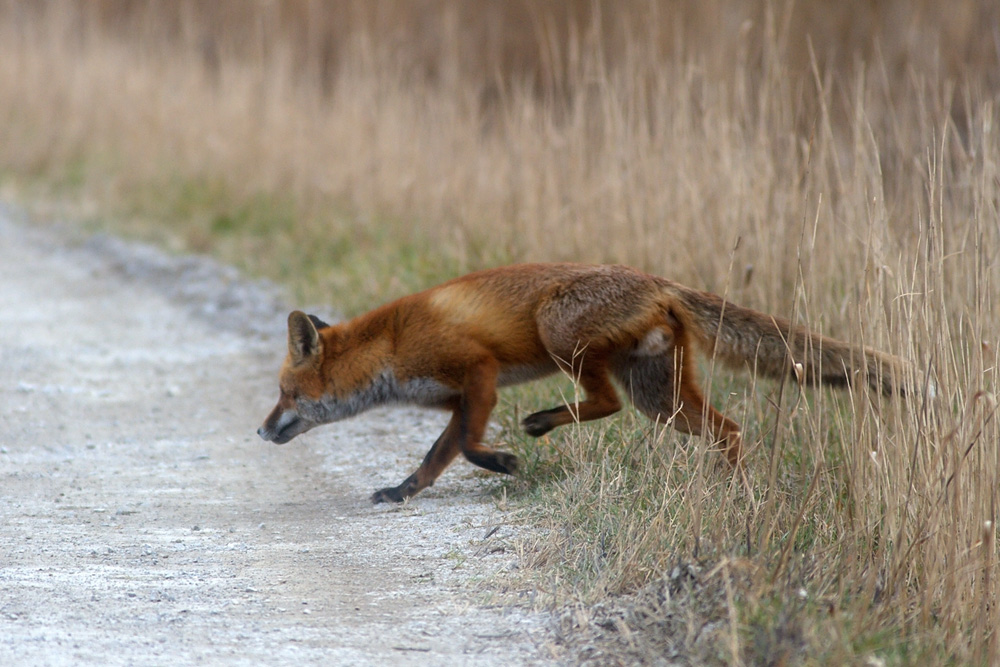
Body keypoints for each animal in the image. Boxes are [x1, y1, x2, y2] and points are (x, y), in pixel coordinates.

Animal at [256, 264, 908, 504]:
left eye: (286, 393)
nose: (260, 431)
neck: (391, 345)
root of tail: (659, 282)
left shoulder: (478, 372)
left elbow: (464, 444)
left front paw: (502, 464)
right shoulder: (459, 398)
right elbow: (438, 454)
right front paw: (403, 491)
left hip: (560, 332)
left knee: (604, 401)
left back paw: (543, 422)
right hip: (661, 400)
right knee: (727, 429)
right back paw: (737, 493)